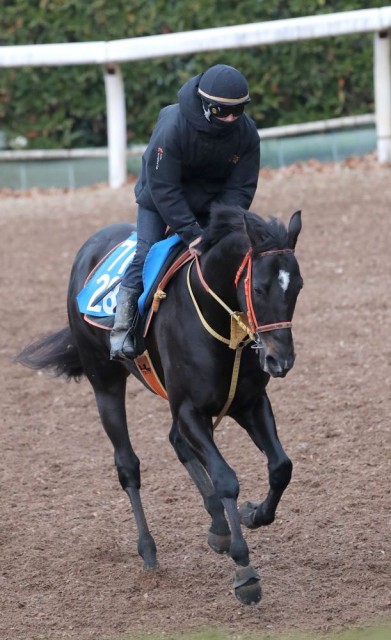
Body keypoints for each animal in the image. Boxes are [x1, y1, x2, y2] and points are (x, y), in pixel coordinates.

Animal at [16, 205, 304, 604]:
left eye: (298, 286)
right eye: (259, 288)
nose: (281, 360)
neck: (217, 319)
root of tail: (90, 245)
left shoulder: (248, 402)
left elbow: (280, 467)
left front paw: (251, 515)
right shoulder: (190, 410)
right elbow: (226, 478)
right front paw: (244, 568)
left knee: (177, 442)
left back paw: (218, 525)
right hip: (104, 383)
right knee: (128, 465)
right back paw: (149, 550)